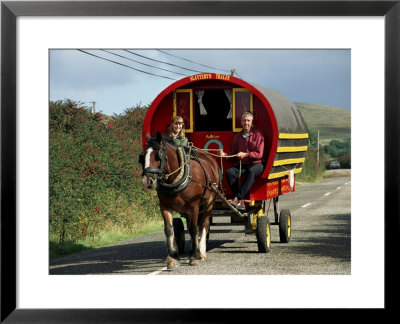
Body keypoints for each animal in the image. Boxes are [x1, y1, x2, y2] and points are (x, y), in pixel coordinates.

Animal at [140, 131, 222, 268]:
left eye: (158, 155)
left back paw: (201, 251)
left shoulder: (194, 206)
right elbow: (169, 230)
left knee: (204, 224)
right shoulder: (165, 207)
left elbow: (193, 229)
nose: (148, 181)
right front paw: (173, 257)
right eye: (142, 156)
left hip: (208, 203)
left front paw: (194, 256)